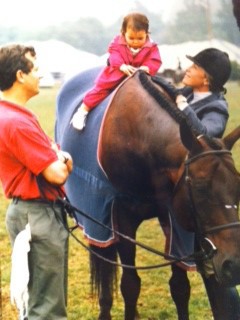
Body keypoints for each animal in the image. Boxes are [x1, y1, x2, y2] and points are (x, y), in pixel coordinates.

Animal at [55, 66, 240, 318]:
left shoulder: (173, 217)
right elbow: (130, 285)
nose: (235, 264)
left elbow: (180, 287)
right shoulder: (120, 218)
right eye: (200, 188)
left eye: (237, 186)